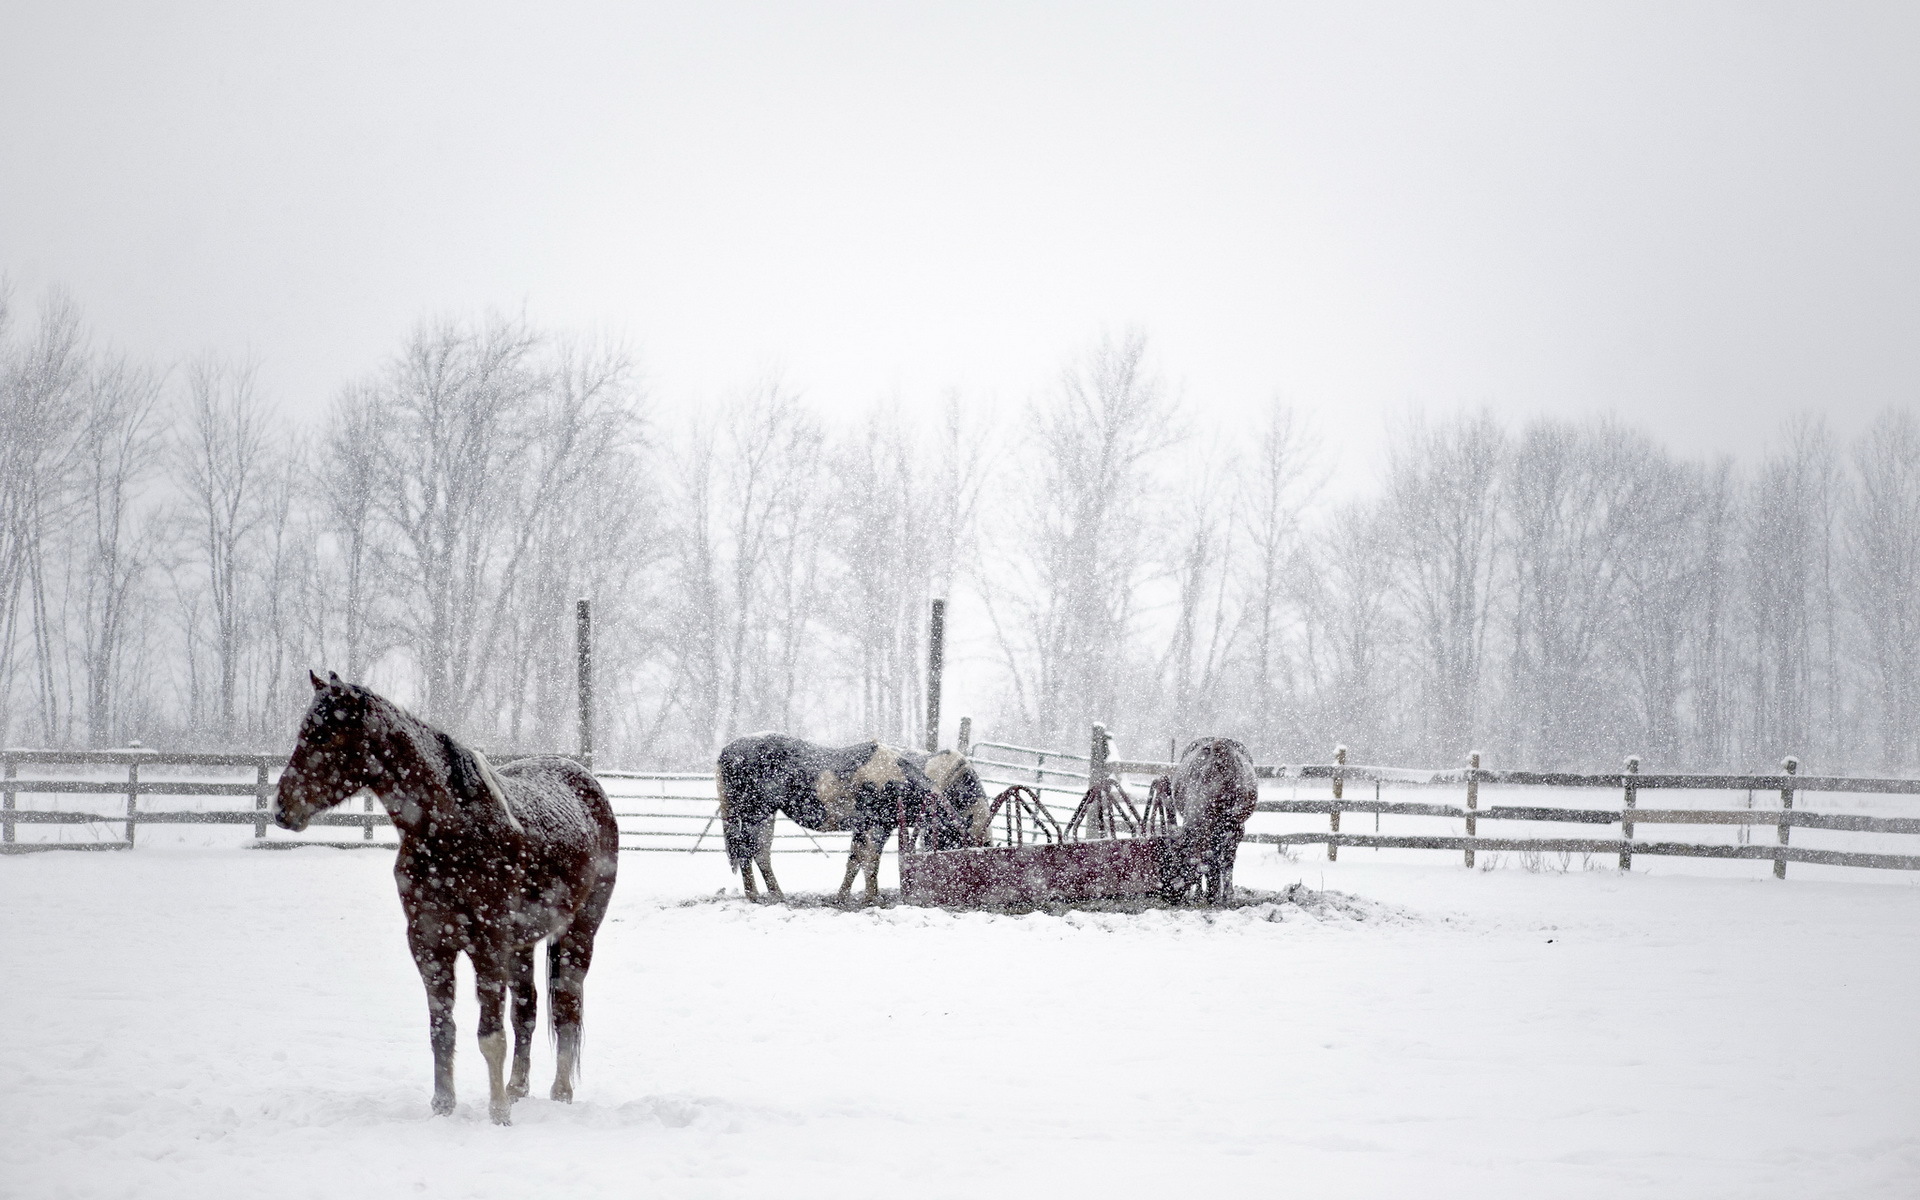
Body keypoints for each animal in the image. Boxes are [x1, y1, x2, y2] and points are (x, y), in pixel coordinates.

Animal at [266, 675, 614, 1121]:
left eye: (327, 734)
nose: (281, 807)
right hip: (523, 944)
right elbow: (442, 1029)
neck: (449, 831)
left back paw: (560, 1092)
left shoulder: (488, 944)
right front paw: (444, 1106)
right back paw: (518, 1088)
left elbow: (490, 1035)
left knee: (566, 1007)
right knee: (527, 1010)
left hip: (578, 934)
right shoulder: (429, 943)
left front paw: (498, 1113)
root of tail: (585, 779)